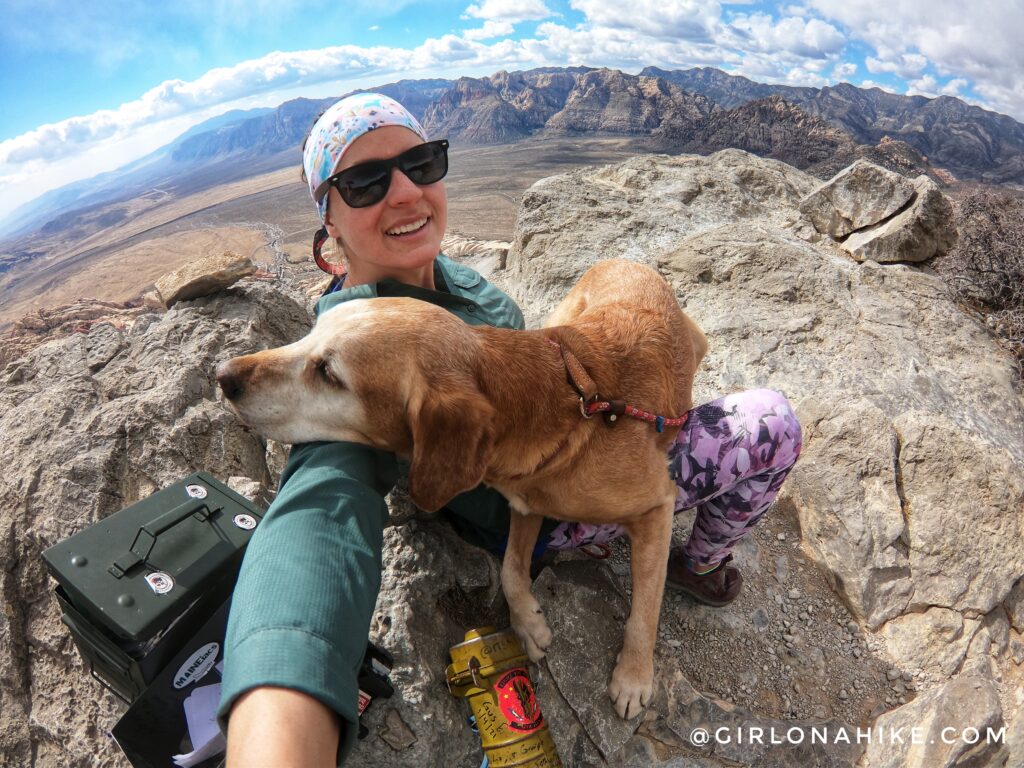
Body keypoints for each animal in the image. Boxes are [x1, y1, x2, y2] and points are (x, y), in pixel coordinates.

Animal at [218, 260, 704, 720]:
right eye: (310, 333)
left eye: (327, 372)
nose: (223, 375)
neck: (554, 408)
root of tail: (623, 261)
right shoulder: (525, 505)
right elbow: (510, 571)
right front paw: (528, 625)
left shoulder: (657, 507)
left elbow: (645, 610)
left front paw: (634, 677)